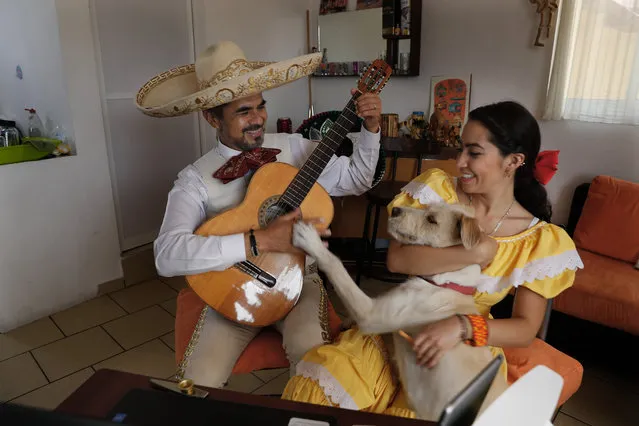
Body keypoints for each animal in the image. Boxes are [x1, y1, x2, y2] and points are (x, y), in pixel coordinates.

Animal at [292, 204, 508, 422]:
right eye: (426, 207)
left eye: (432, 219)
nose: (395, 209)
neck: (448, 282)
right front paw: (347, 321)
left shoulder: (372, 314)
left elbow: (336, 265)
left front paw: (310, 240)